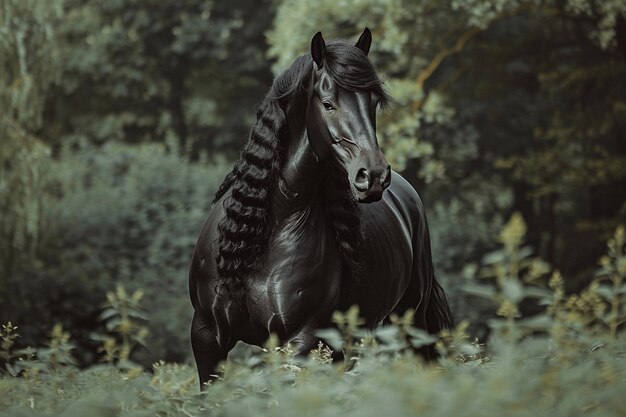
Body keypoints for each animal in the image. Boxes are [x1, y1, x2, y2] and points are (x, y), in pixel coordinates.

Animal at [188, 28, 450, 386]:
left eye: (373, 103)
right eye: (327, 104)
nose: (374, 176)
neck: (268, 230)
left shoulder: (300, 343)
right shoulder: (207, 339)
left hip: (412, 326)